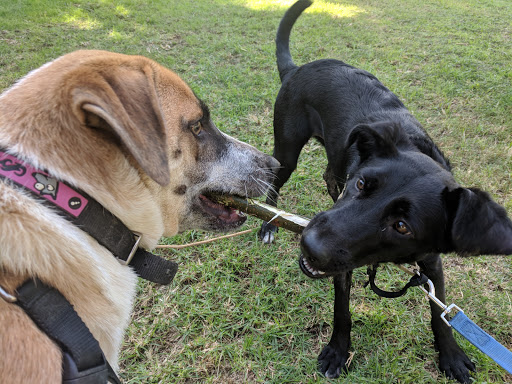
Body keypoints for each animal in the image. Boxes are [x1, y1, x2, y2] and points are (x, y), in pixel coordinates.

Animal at [260, 1, 512, 382]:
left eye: (402, 226)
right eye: (362, 184)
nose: (309, 245)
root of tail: (298, 68)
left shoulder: (432, 264)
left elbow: (440, 315)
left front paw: (450, 355)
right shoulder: (342, 264)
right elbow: (342, 310)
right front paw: (338, 351)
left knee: (327, 173)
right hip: (288, 150)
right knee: (274, 178)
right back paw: (269, 224)